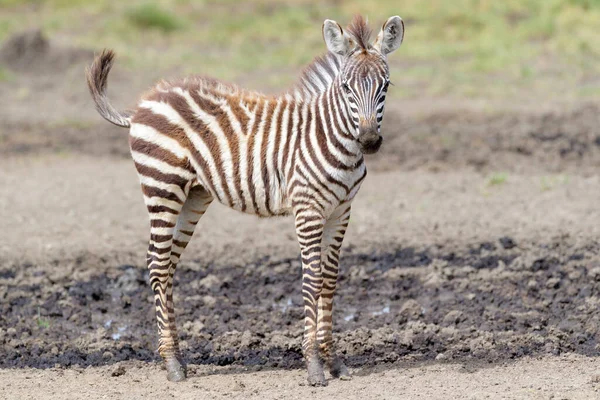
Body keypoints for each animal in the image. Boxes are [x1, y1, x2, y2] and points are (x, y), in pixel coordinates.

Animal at [85, 14, 404, 386]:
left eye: (385, 86)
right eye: (346, 88)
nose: (369, 141)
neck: (333, 138)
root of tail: (142, 104)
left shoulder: (341, 211)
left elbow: (329, 280)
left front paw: (334, 362)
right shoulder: (307, 210)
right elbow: (312, 279)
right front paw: (313, 366)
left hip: (193, 196)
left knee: (166, 265)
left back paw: (178, 358)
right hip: (162, 186)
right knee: (156, 262)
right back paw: (172, 365)